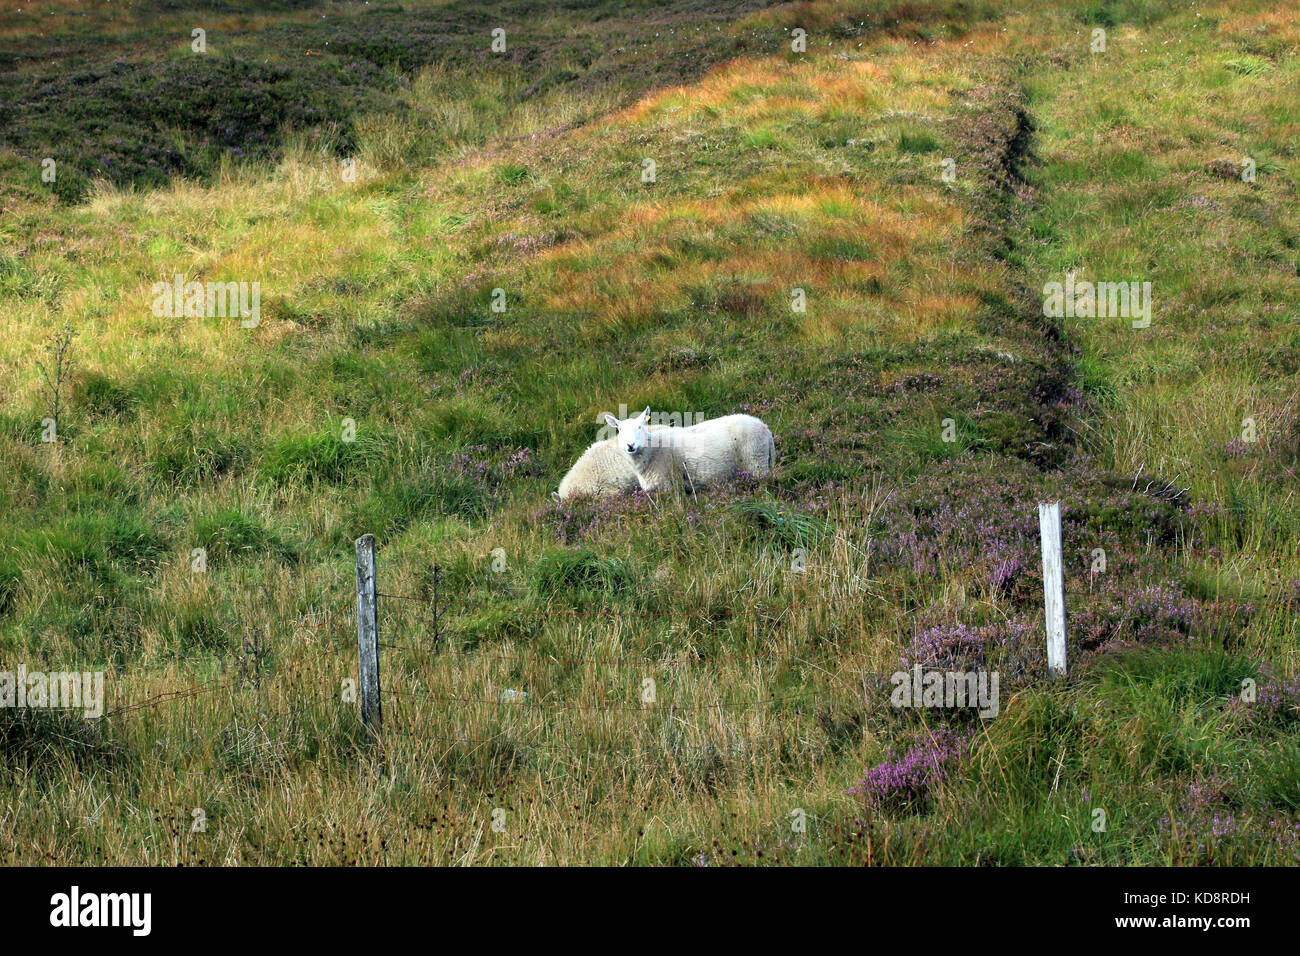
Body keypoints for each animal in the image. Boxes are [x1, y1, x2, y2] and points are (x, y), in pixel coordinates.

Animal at [603, 405, 774, 494]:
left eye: (640, 427)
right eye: (620, 429)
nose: (630, 445)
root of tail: (764, 427)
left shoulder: (668, 486)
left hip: (755, 460)